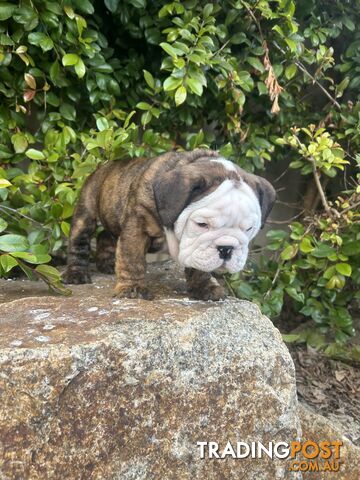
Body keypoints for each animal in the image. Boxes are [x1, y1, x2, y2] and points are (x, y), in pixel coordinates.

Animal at [63, 150, 276, 300]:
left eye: (248, 229)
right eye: (201, 224)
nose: (226, 248)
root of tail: (103, 166)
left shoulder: (198, 250)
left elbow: (200, 267)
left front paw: (205, 288)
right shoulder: (137, 227)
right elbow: (132, 258)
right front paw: (132, 288)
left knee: (105, 236)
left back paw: (107, 264)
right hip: (86, 210)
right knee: (80, 241)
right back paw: (76, 273)